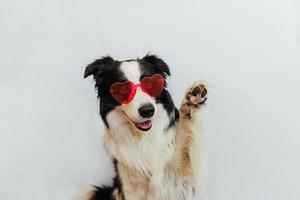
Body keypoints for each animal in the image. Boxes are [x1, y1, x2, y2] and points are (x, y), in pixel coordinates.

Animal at [82, 54, 209, 200]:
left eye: (150, 84)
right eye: (122, 89)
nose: (147, 111)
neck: (142, 137)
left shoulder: (176, 174)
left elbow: (183, 134)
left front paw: (192, 99)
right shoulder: (129, 186)